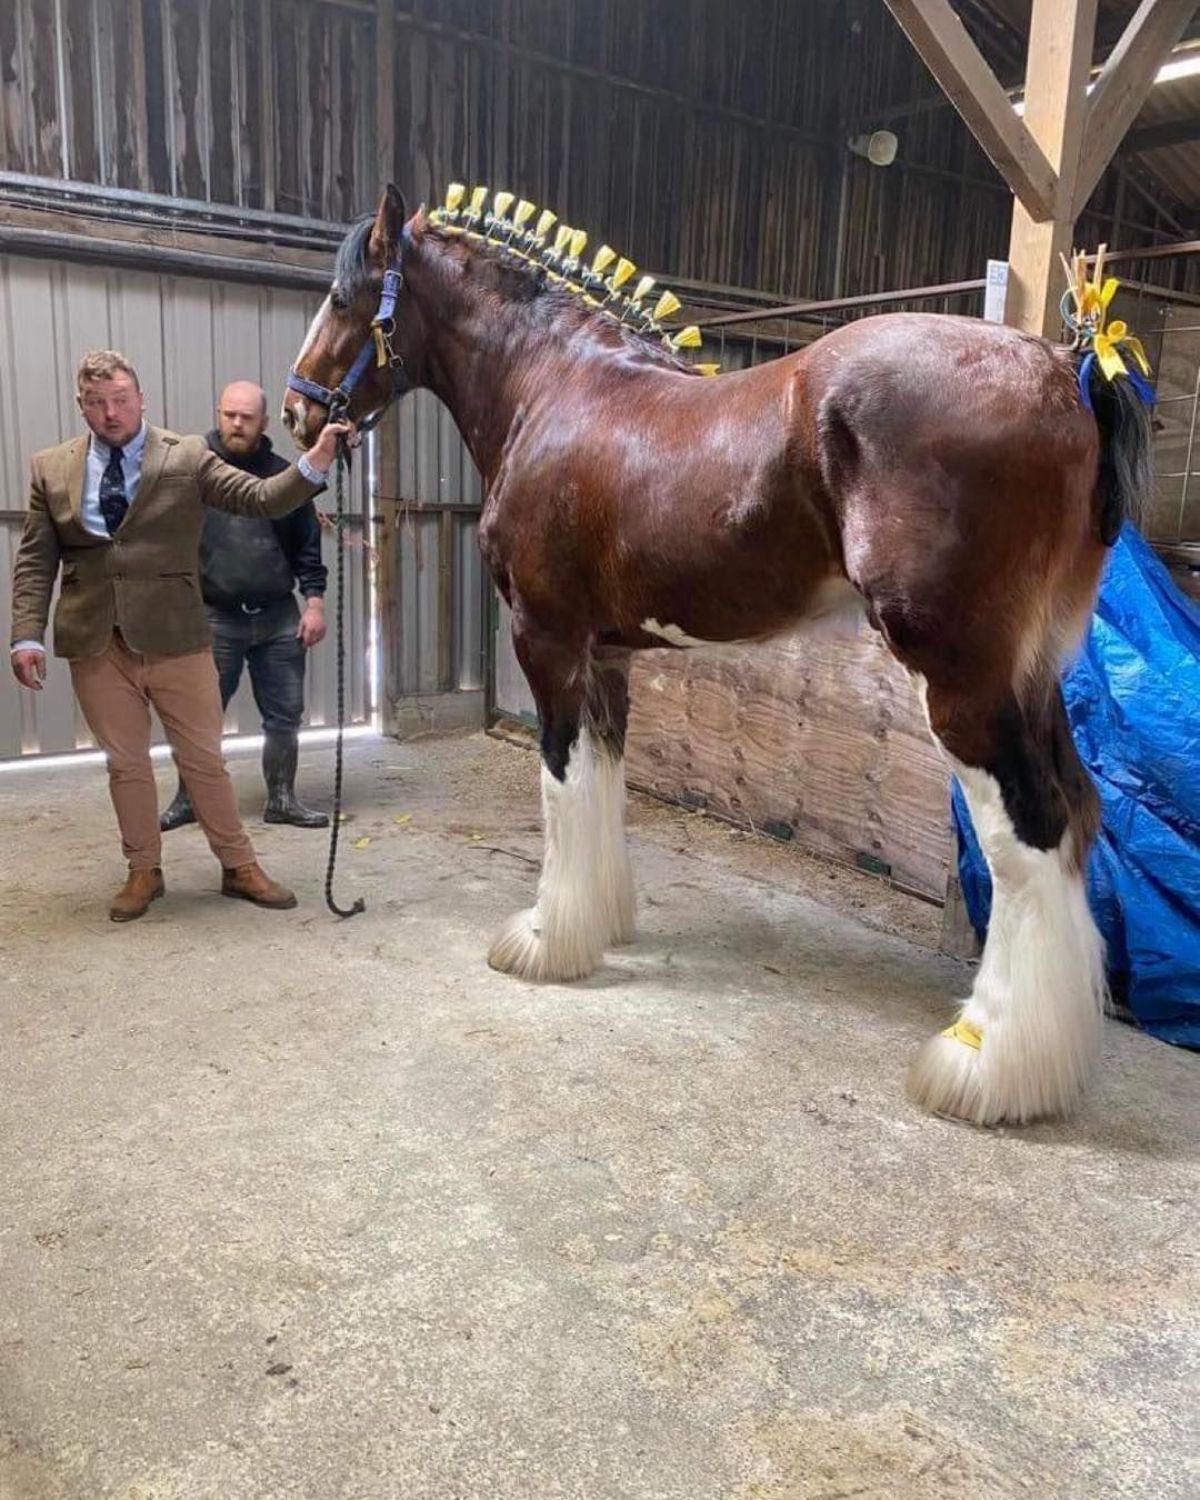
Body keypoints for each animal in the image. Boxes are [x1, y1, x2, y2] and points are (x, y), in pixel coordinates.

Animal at [283, 187, 1152, 1128]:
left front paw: (547, 938)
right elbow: (602, 780)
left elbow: (559, 782)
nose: (297, 413)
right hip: (1031, 675)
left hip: (963, 677)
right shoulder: (607, 657)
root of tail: (1064, 370)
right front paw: (600, 923)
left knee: (1027, 833)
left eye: (342, 298)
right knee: (1078, 813)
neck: (552, 386)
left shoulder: (546, 638)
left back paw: (983, 1064)